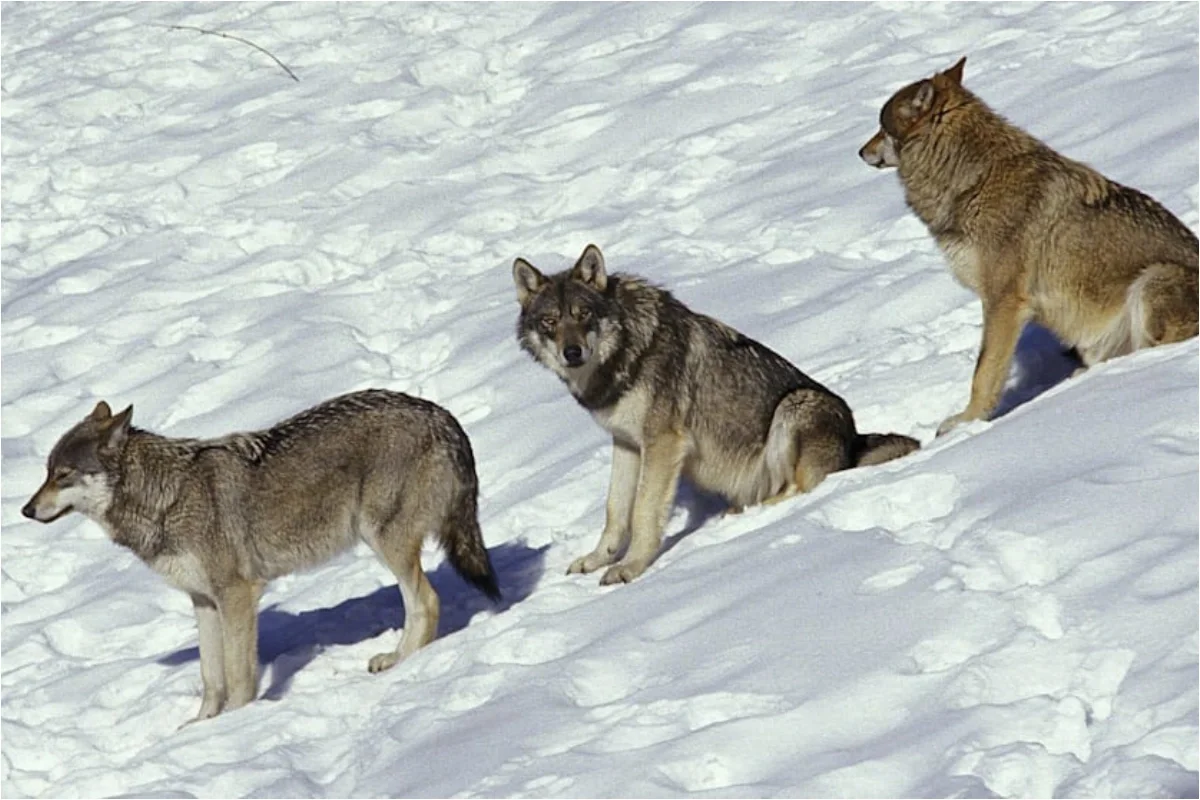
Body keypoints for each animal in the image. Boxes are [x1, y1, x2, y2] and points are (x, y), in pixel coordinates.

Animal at [23, 391, 501, 724]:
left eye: (63, 475)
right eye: (45, 473)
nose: (26, 510)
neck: (166, 498)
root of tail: (441, 414)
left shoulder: (237, 594)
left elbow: (238, 676)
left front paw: (236, 722)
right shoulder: (204, 602)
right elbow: (210, 678)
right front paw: (198, 728)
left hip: (383, 540)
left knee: (427, 601)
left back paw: (402, 662)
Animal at [513, 244, 916, 587]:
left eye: (583, 315)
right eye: (550, 322)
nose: (572, 352)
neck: (624, 357)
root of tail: (855, 439)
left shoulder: (663, 443)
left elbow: (642, 512)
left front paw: (631, 567)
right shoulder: (626, 443)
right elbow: (615, 511)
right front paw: (598, 559)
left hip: (793, 407)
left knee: (802, 487)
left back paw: (743, 513)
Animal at [864, 55, 1200, 434]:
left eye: (881, 127)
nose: (860, 151)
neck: (973, 178)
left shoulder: (1004, 301)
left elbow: (983, 373)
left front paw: (967, 422)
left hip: (1151, 281)